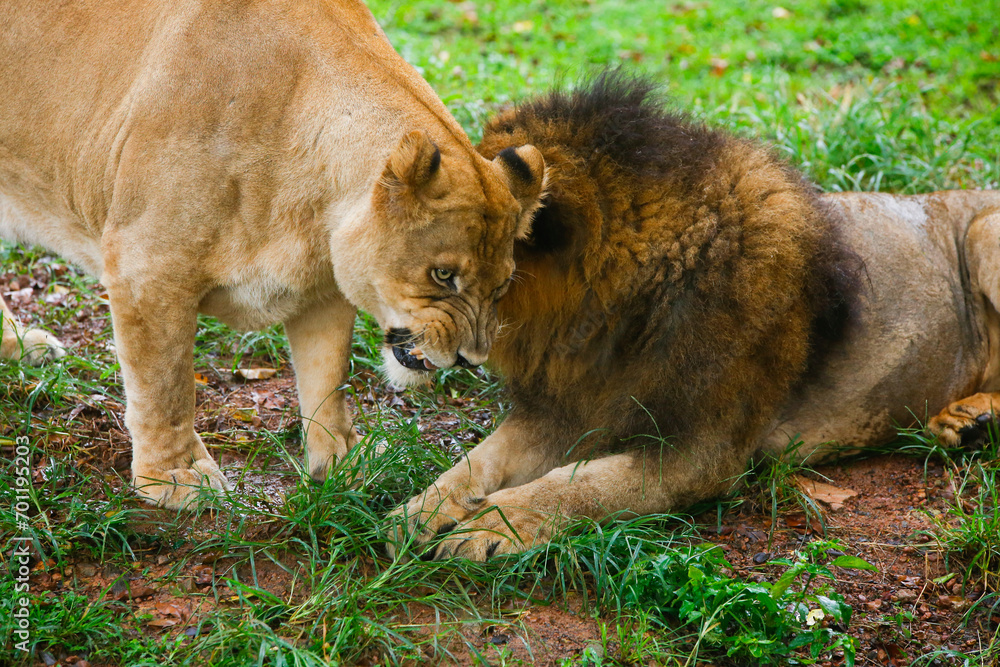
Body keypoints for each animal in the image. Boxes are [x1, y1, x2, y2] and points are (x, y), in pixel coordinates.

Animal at [0, 0, 545, 509]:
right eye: (443, 275)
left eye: (500, 286)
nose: (471, 361)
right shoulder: (145, 267)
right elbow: (166, 387)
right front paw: (174, 477)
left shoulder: (322, 292)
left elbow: (329, 380)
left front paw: (342, 464)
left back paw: (19, 346)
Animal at [388, 72, 1000, 561]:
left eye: (441, 267)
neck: (602, 325)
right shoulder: (562, 410)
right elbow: (477, 462)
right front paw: (417, 512)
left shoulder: (701, 453)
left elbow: (577, 486)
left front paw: (492, 527)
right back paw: (963, 422)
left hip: (983, 231)